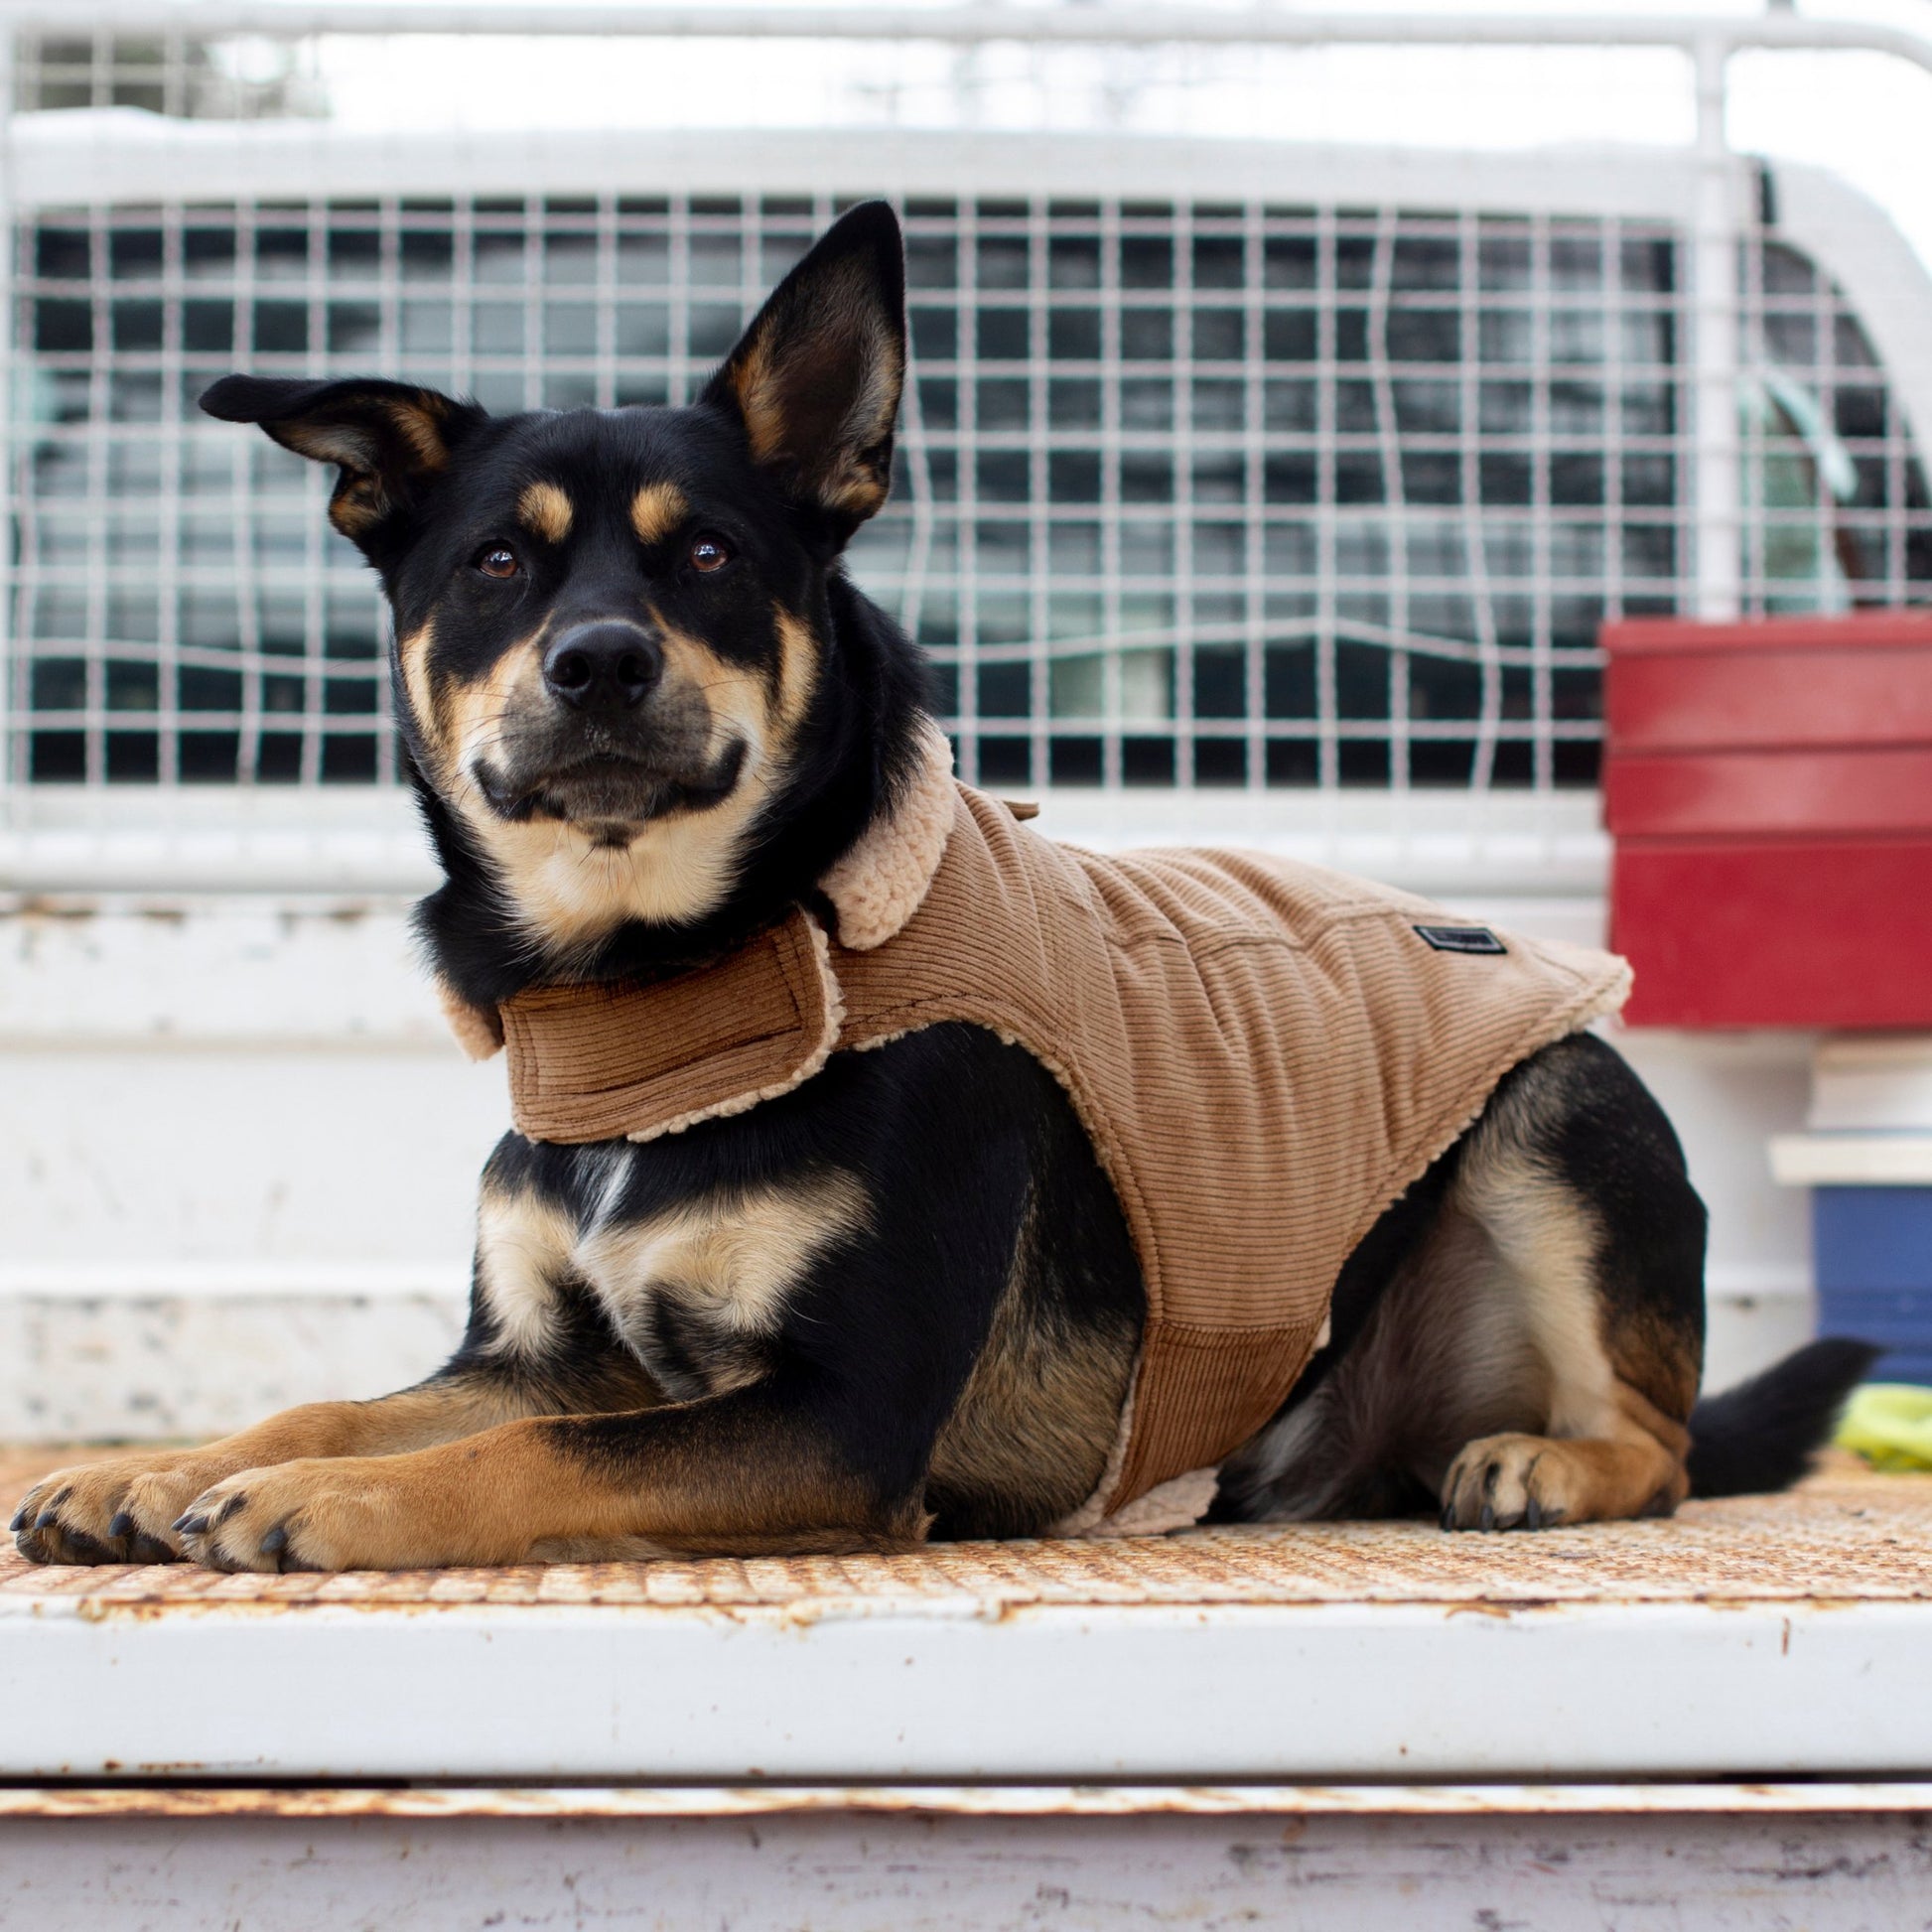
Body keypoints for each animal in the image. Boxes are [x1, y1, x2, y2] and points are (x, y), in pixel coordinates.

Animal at [7, 204, 1862, 1576]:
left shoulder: (843, 1417)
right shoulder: (535, 1350)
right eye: (494, 564)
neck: (662, 996)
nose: (597, 660)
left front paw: (338, 1503)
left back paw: (1550, 1462)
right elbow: (347, 1403)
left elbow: (537, 1451)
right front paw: (166, 1464)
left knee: (1668, 1446)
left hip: (1562, 1112)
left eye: (708, 557)